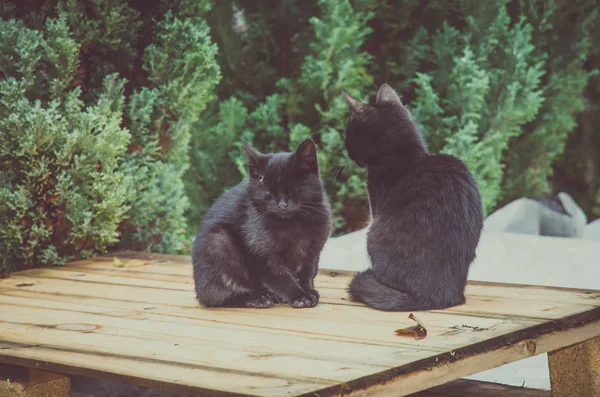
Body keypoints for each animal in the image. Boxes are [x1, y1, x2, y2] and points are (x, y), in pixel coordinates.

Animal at [193, 139, 330, 310]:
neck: (293, 224)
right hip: (218, 241)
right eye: (269, 192)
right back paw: (258, 298)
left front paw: (308, 291)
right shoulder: (264, 256)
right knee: (217, 297)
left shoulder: (312, 252)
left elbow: (308, 273)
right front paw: (300, 296)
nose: (282, 205)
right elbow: (282, 278)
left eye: (292, 189)